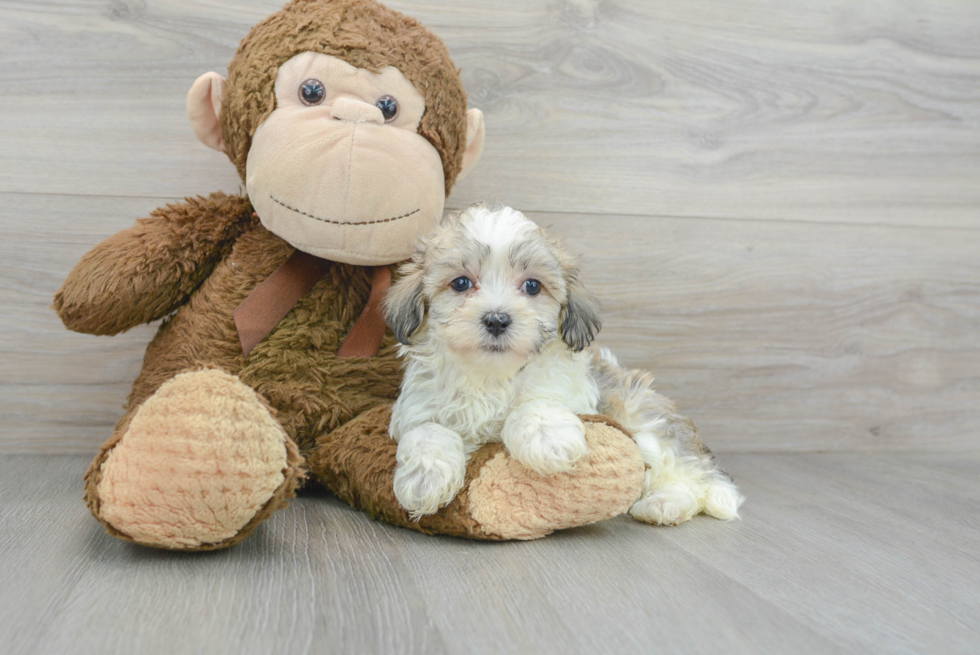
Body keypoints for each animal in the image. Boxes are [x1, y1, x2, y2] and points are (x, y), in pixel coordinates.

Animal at [382, 206, 744, 528]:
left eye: (532, 286)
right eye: (460, 283)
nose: (497, 319)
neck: (493, 374)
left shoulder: (569, 391)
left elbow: (537, 403)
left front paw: (548, 439)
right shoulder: (418, 408)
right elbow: (427, 432)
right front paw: (425, 479)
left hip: (645, 426)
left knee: (690, 480)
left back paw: (665, 503)